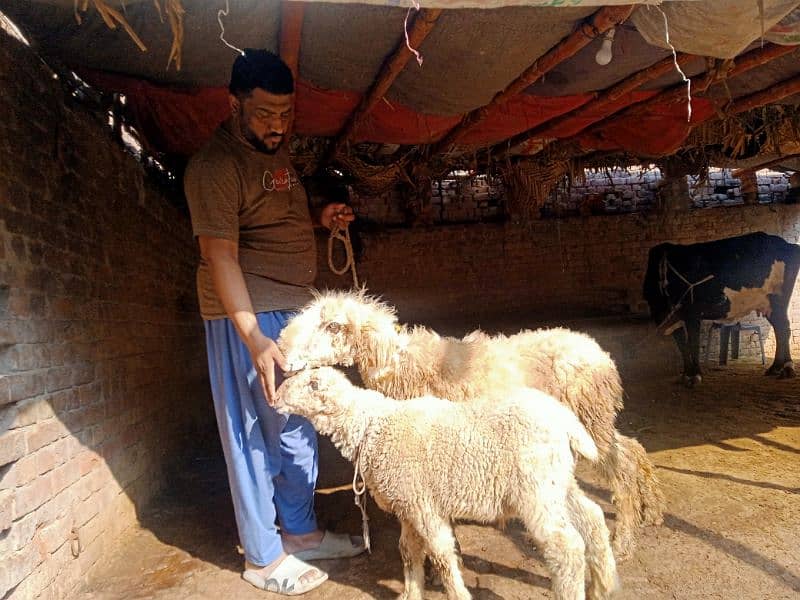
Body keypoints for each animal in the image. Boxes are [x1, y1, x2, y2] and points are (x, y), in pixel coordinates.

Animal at [276, 366, 620, 600]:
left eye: (305, 385)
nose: (275, 397)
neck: (372, 426)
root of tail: (565, 420)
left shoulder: (423, 506)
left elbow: (441, 554)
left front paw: (456, 593)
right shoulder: (407, 504)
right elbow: (408, 551)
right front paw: (411, 593)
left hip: (535, 488)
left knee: (567, 547)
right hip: (558, 480)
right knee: (593, 518)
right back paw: (604, 585)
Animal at [278, 290, 664, 556]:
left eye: (332, 326)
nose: (284, 356)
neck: (401, 365)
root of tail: (601, 354)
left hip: (589, 415)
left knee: (620, 466)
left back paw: (625, 538)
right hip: (594, 418)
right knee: (631, 449)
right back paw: (652, 511)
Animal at [644, 230, 800, 384]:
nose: (722, 298)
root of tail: (786, 244)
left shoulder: (692, 314)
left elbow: (693, 343)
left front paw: (696, 375)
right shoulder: (668, 317)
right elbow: (682, 345)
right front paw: (686, 375)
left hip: (778, 298)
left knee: (784, 329)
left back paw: (787, 368)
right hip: (768, 305)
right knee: (779, 329)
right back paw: (775, 367)